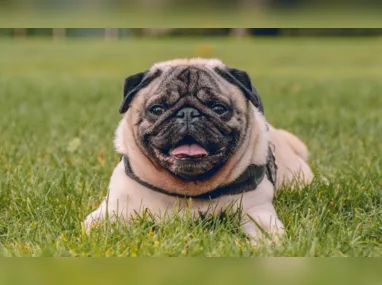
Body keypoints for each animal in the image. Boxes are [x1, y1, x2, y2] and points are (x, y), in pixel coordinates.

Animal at [85, 58, 314, 243]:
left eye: (218, 108)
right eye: (157, 109)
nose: (188, 113)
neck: (188, 191)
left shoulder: (256, 211)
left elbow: (268, 234)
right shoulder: (113, 209)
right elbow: (95, 228)